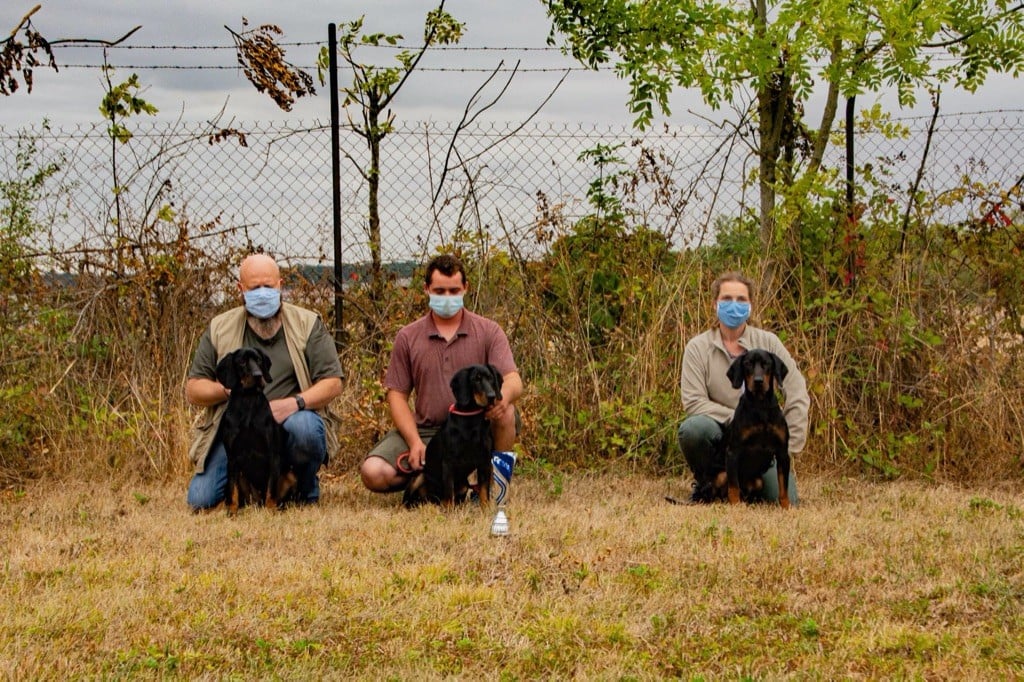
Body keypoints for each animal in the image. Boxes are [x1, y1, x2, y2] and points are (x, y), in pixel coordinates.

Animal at [216, 346, 294, 509]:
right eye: (242, 362)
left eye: (258, 360)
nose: (258, 375)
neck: (248, 400)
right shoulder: (232, 457)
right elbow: (232, 490)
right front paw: (231, 512)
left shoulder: (273, 454)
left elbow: (271, 489)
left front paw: (270, 510)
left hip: (290, 475)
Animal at [403, 364, 507, 507]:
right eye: (476, 379)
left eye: (490, 378)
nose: (491, 396)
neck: (471, 420)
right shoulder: (449, 462)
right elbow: (448, 494)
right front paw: (449, 511)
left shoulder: (484, 460)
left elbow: (484, 491)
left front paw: (486, 509)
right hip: (418, 477)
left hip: (463, 484)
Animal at [720, 348, 790, 507]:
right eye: (748, 364)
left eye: (767, 363)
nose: (758, 381)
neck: (761, 405)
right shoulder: (733, 452)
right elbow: (733, 487)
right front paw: (735, 507)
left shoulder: (783, 453)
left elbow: (784, 488)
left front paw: (787, 508)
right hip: (722, 474)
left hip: (757, 481)